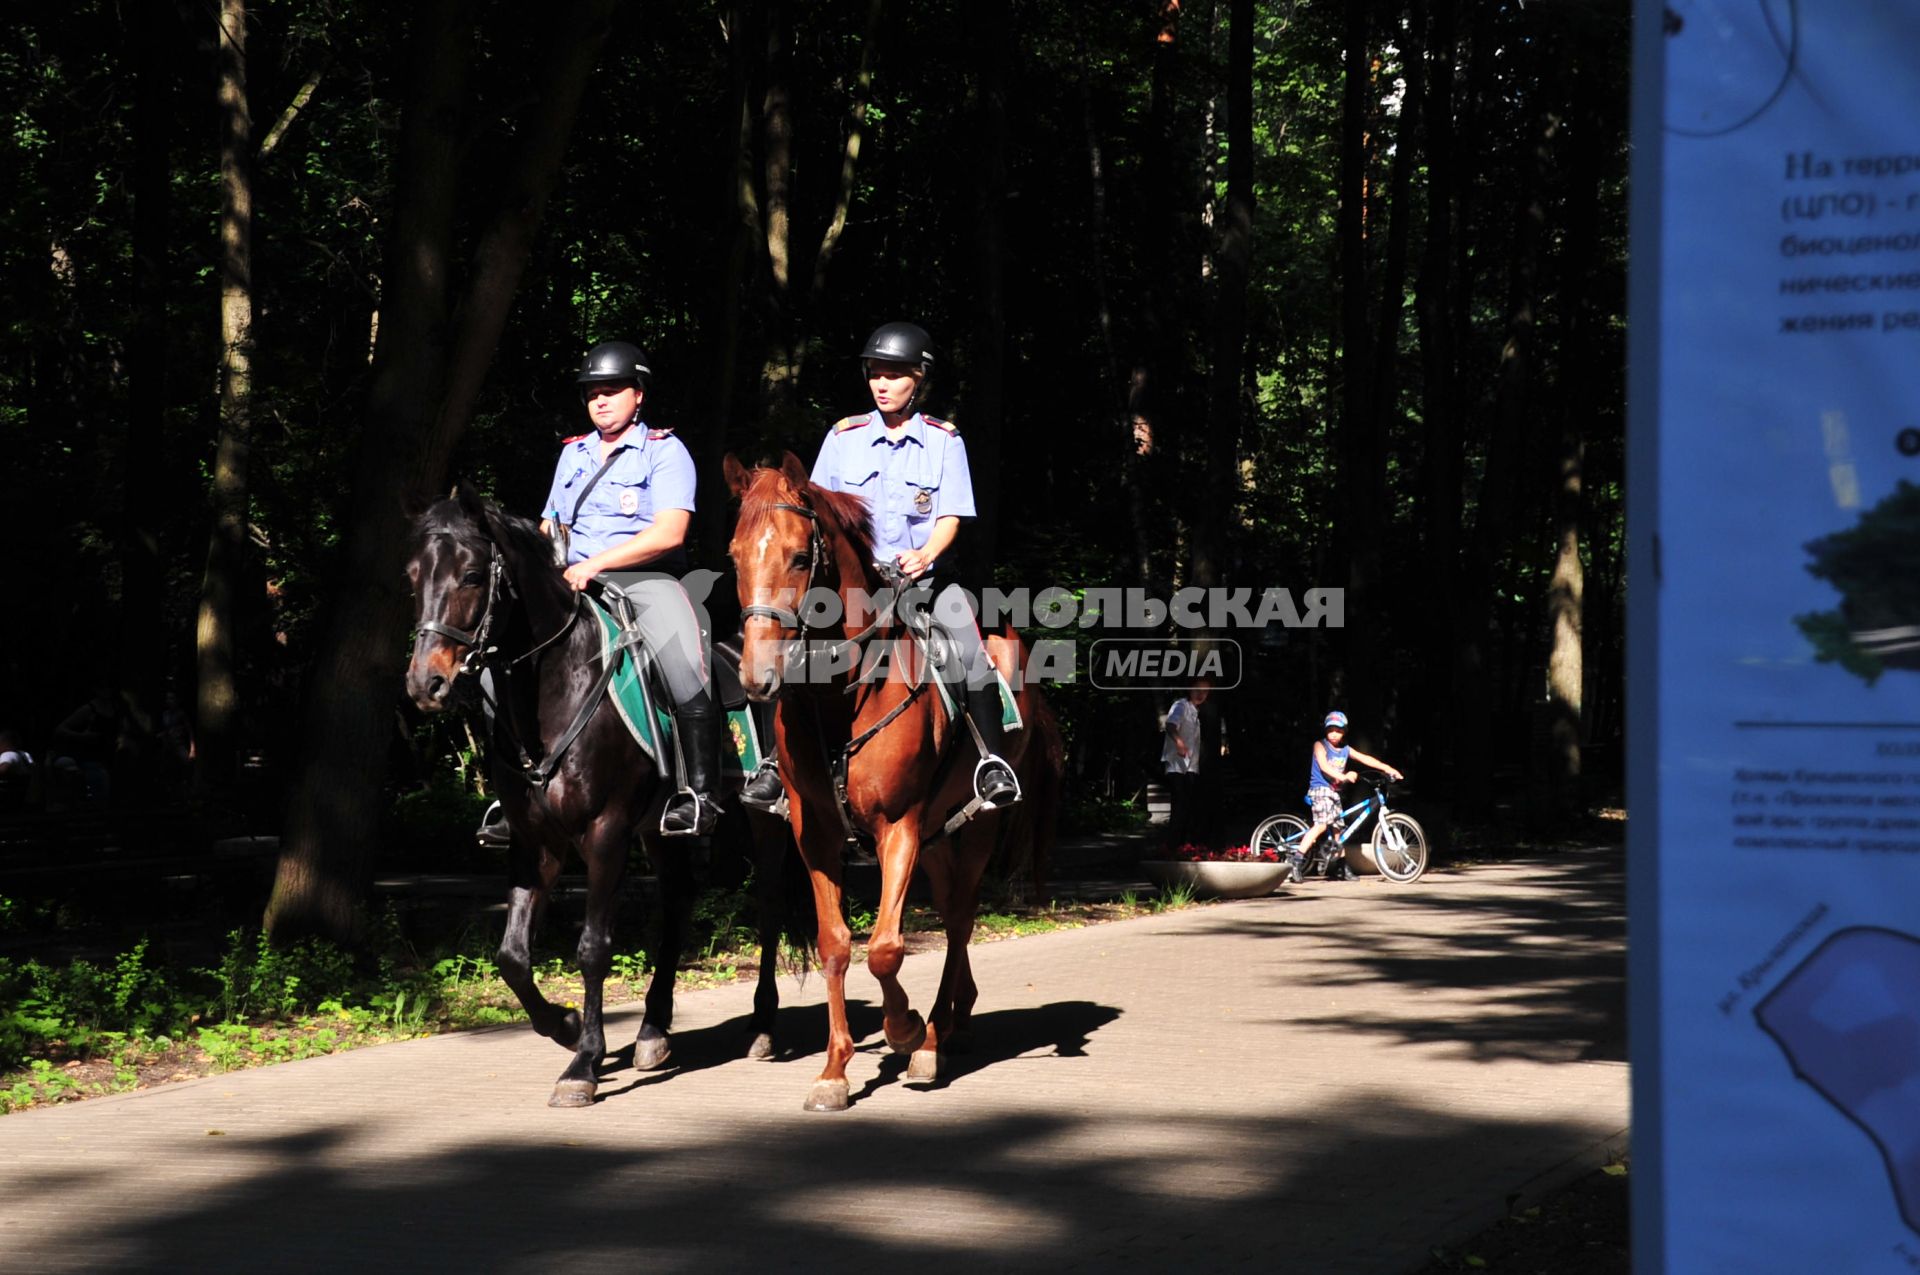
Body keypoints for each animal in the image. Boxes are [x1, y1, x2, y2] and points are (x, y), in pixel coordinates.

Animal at [405, 483, 794, 1113]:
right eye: (413, 576)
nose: (426, 684)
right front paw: (563, 1026)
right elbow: (512, 956)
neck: (554, 686)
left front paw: (583, 1063)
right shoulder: (533, 844)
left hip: (764, 824)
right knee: (677, 906)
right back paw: (653, 1031)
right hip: (662, 830)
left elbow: (592, 946)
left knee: (768, 908)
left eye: (470, 575)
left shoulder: (605, 833)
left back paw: (761, 1026)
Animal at [721, 453, 1067, 1113]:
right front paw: (834, 1071)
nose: (757, 677)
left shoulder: (897, 827)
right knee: (951, 910)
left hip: (974, 828)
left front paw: (904, 1030)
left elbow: (885, 948)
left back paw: (932, 1036)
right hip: (937, 836)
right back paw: (953, 1021)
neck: (844, 695)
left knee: (959, 918)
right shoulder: (816, 836)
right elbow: (836, 944)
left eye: (799, 557)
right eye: (734, 555)